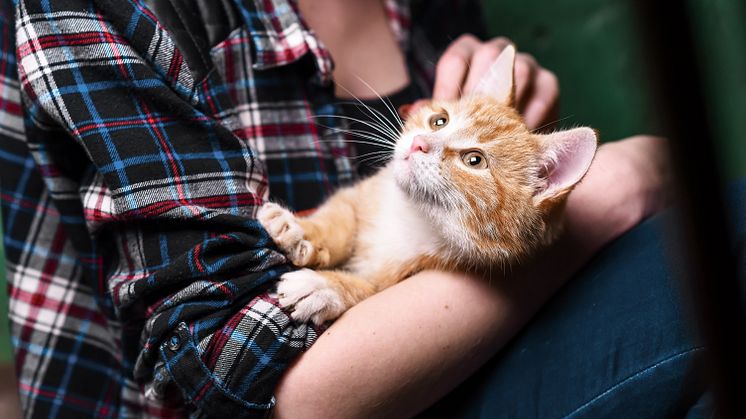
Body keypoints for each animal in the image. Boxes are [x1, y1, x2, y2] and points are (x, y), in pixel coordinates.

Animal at [258, 46, 596, 328]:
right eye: (439, 121)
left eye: (474, 160)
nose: (419, 143)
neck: (414, 215)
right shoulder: (362, 194)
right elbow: (339, 220)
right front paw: (300, 230)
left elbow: (371, 290)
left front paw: (325, 287)